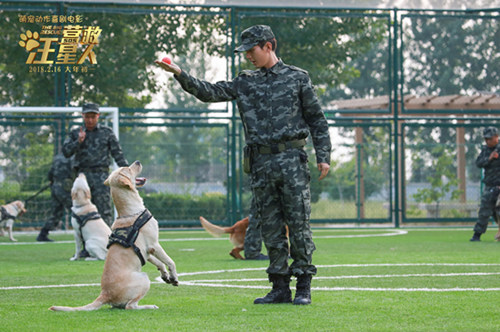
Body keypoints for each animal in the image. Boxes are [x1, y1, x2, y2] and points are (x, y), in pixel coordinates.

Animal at [49, 161, 179, 312]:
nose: (138, 162)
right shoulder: (154, 245)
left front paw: (165, 275)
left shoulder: (146, 252)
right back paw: (149, 306)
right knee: (130, 306)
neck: (131, 211)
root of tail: (105, 294)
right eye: (127, 168)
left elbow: (160, 263)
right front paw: (174, 277)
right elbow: (170, 261)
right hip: (143, 278)